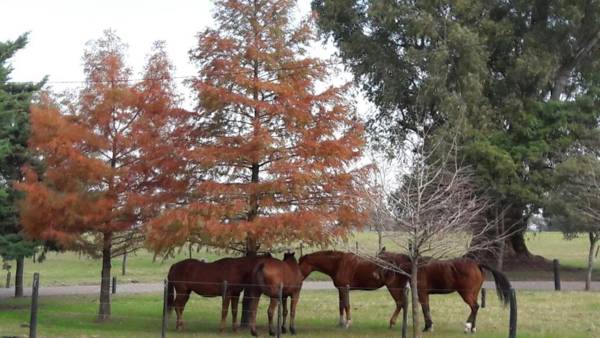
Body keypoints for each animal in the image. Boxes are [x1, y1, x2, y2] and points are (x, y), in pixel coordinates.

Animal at [380, 250, 510, 334]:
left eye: (380, 258)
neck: (416, 267)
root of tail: (477, 264)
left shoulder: (422, 293)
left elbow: (425, 309)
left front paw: (427, 327)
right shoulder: (425, 294)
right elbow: (427, 309)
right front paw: (429, 326)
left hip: (466, 294)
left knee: (475, 306)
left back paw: (467, 326)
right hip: (474, 293)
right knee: (475, 308)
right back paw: (473, 328)